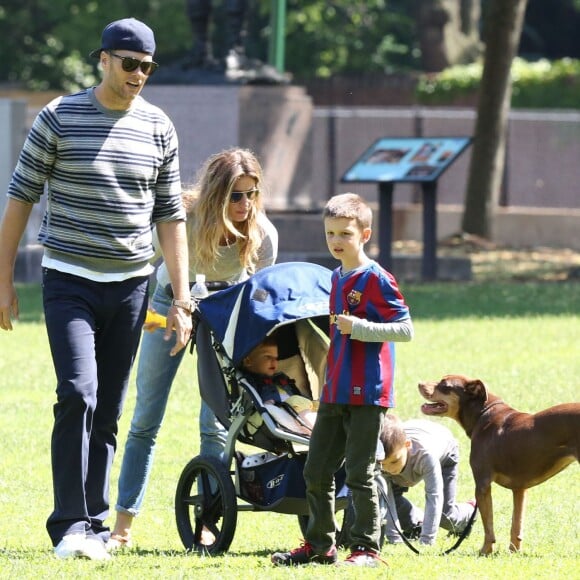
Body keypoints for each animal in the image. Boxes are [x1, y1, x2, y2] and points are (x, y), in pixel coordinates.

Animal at [420, 374, 576, 556]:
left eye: (444, 385)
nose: (419, 383)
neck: (483, 415)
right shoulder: (520, 489)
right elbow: (516, 525)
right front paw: (514, 552)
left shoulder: (482, 485)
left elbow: (488, 525)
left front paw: (485, 551)